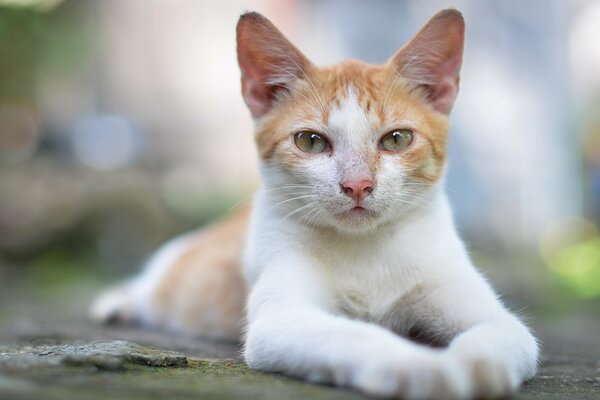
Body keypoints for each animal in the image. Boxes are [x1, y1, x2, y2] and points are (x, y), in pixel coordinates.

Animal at [91, 9, 540, 400]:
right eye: (310, 141)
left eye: (397, 139)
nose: (357, 184)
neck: (366, 250)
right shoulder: (280, 319)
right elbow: (352, 333)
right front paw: (421, 366)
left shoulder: (485, 309)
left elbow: (501, 333)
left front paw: (476, 366)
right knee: (149, 283)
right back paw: (118, 301)